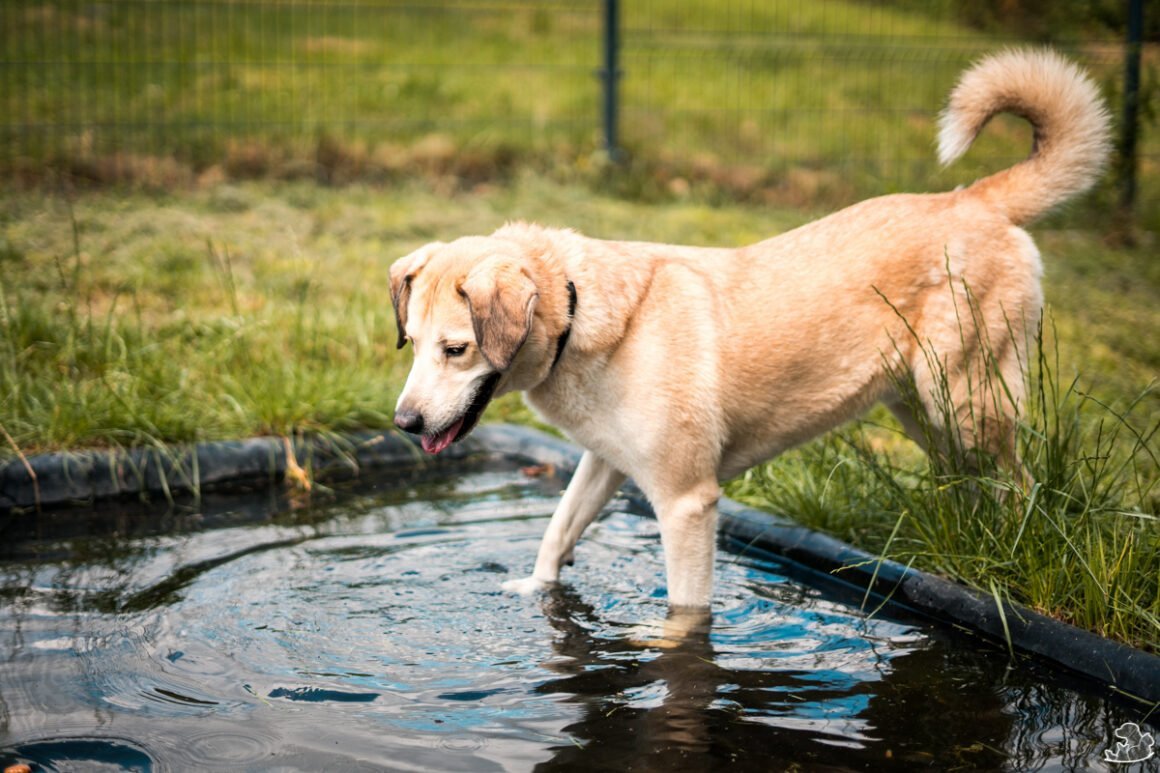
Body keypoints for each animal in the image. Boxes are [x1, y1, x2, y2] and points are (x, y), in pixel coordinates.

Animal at [394, 51, 1108, 612]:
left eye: (456, 349)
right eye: (413, 340)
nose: (403, 423)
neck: (583, 313)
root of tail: (974, 198)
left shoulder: (687, 503)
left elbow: (686, 612)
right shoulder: (604, 463)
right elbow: (558, 529)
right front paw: (536, 590)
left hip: (965, 402)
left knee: (1019, 485)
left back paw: (1006, 557)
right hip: (922, 409)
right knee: (970, 486)